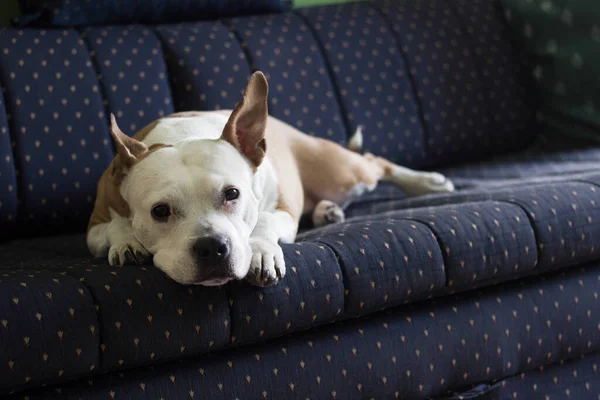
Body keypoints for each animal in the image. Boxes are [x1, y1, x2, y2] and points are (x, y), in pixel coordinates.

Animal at [85, 71, 454, 284]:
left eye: (232, 194)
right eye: (160, 211)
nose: (212, 247)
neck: (183, 134)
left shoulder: (283, 212)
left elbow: (262, 221)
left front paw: (261, 252)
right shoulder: (93, 225)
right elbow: (115, 225)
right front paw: (127, 241)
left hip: (343, 173)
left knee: (374, 162)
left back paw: (429, 181)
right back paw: (327, 211)